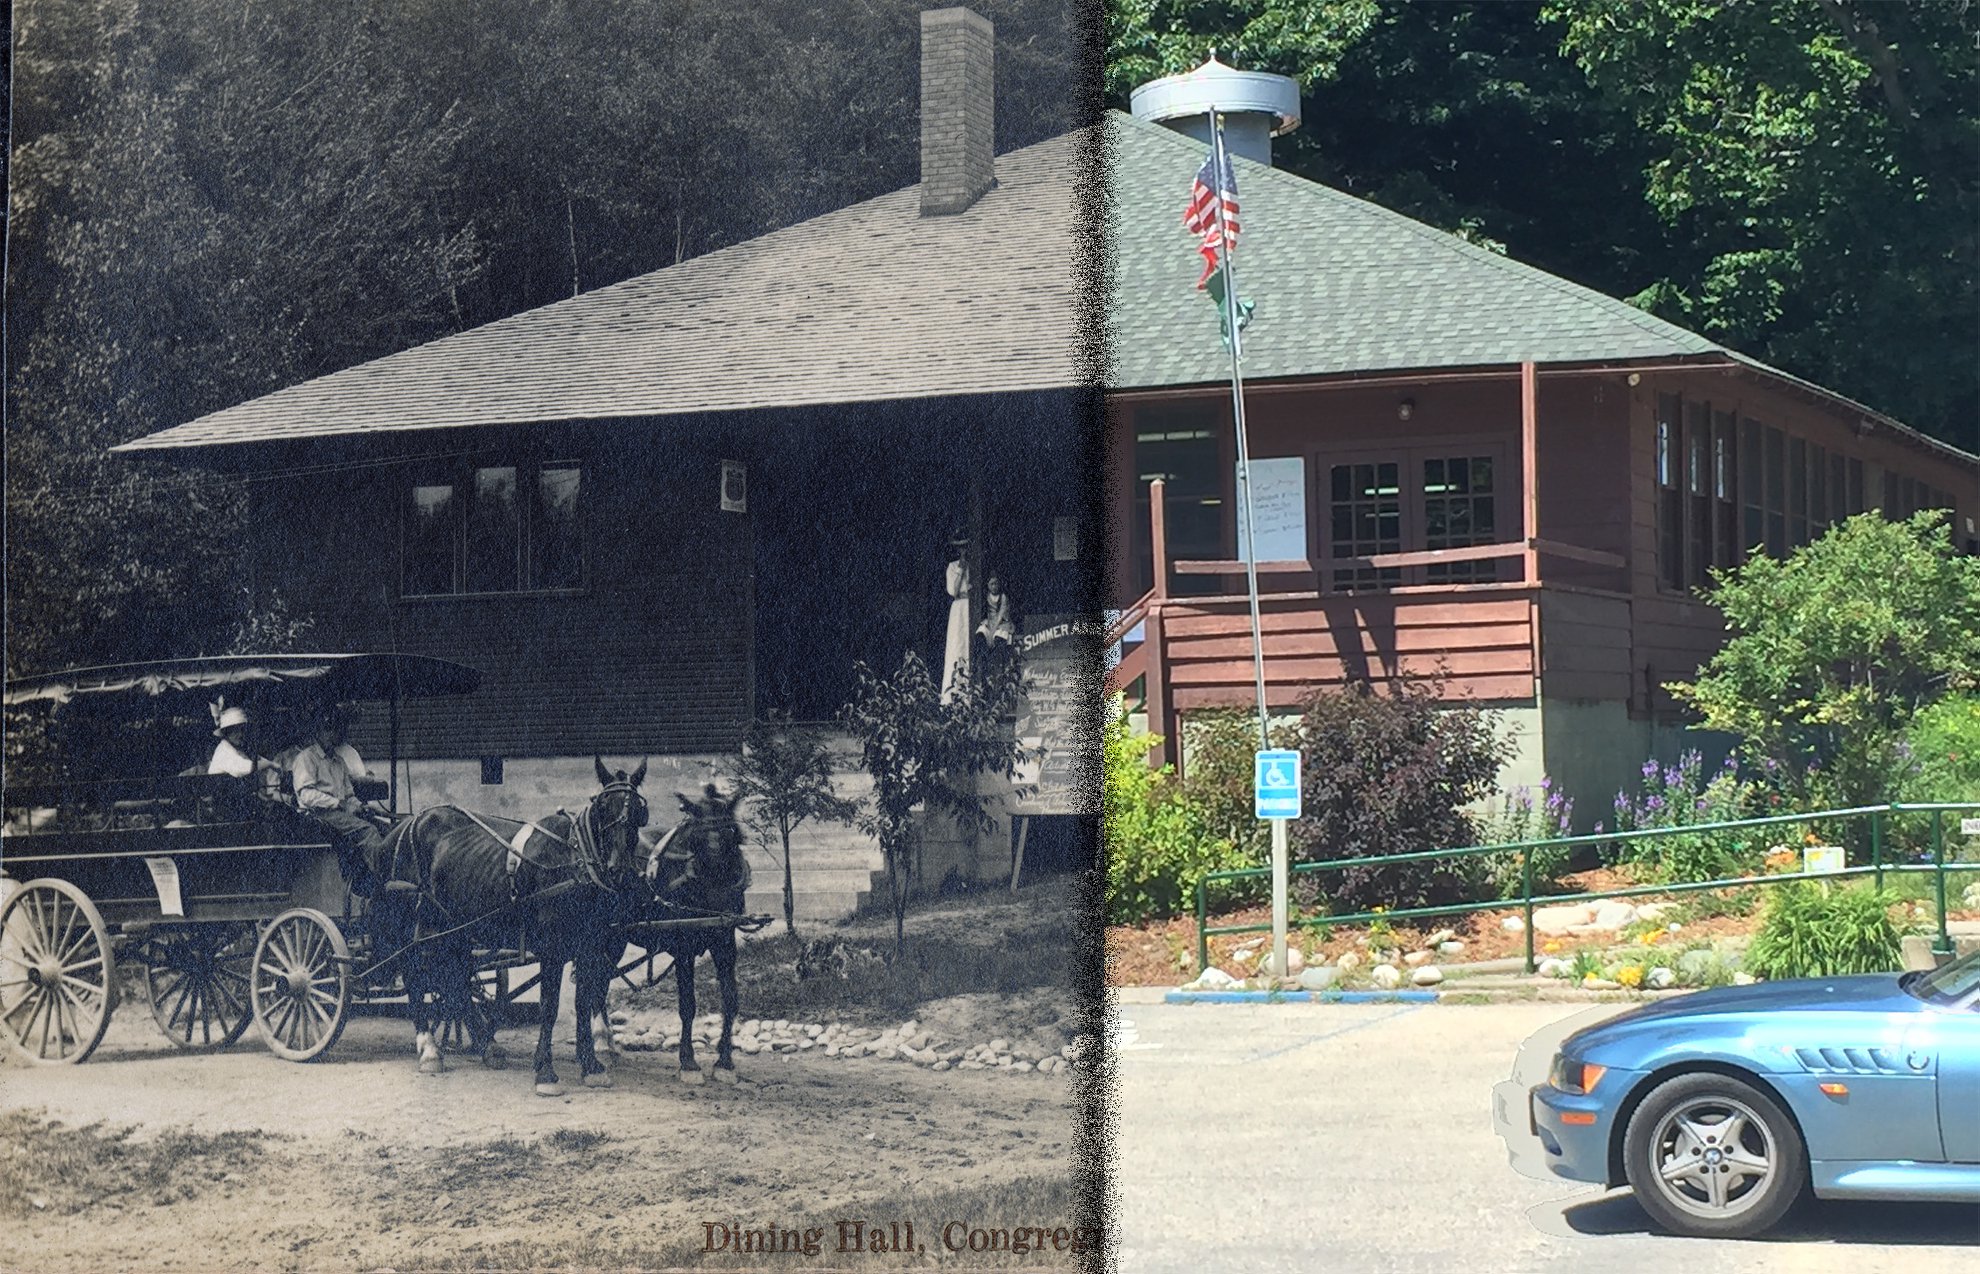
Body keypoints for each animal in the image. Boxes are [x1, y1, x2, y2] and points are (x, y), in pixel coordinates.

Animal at [372, 756, 649, 1093]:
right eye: (604, 807)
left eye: (638, 812)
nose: (620, 869)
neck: (574, 858)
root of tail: (404, 825)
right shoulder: (552, 947)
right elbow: (549, 1006)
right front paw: (545, 1071)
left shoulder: (591, 946)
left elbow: (584, 1001)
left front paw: (591, 1066)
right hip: (418, 925)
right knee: (416, 973)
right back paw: (429, 1049)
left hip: (457, 928)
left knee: (455, 979)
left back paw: (487, 1046)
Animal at [629, 788, 752, 1085]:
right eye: (696, 838)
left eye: (731, 833)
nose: (720, 898)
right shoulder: (684, 948)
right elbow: (688, 1004)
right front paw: (688, 1062)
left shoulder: (725, 943)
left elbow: (730, 998)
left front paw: (725, 1062)